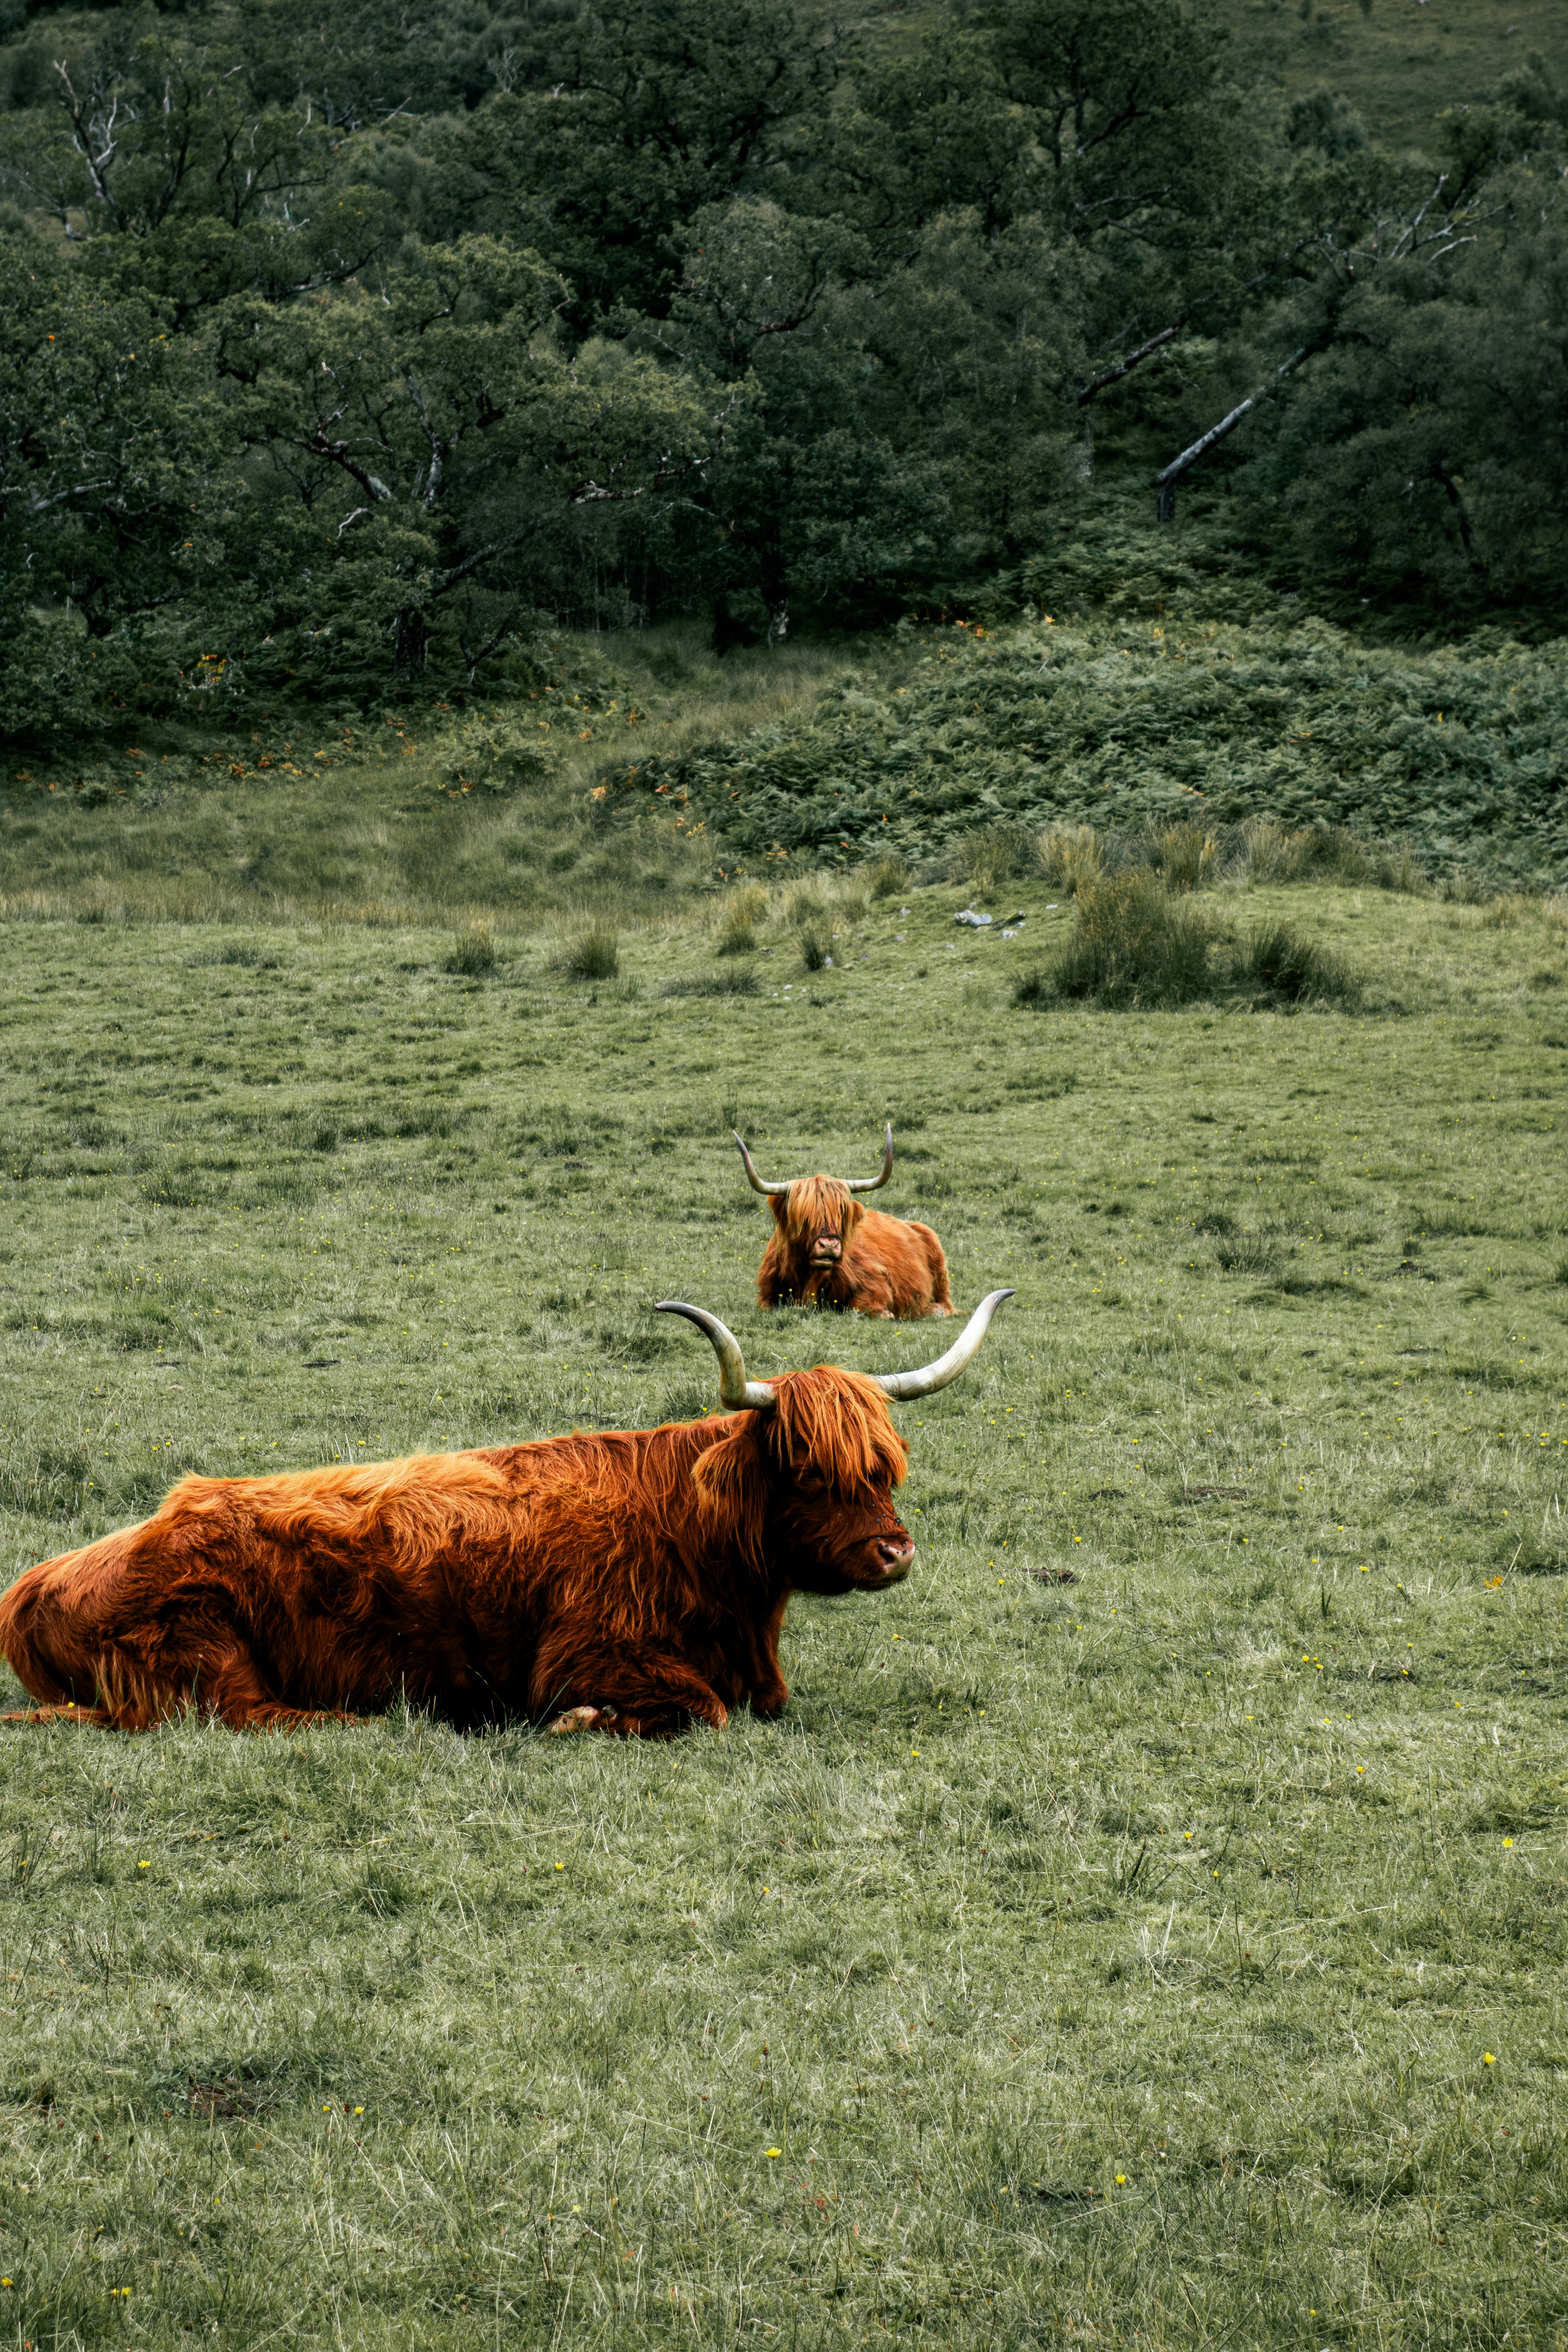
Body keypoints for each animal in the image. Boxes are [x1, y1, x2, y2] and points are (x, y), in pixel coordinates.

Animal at [0, 1291, 1013, 1740]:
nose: (894, 1551)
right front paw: (582, 1722)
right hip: (204, 1654)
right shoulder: (587, 1652)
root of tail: (35, 1583)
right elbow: (705, 1707)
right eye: (807, 1468)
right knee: (258, 1717)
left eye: (886, 1465)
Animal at [735, 1125, 953, 1320]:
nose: (829, 1245)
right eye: (805, 1217)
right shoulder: (766, 1295)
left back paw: (935, 1310)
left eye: (841, 1214)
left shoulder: (875, 1279)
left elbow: (866, 1308)